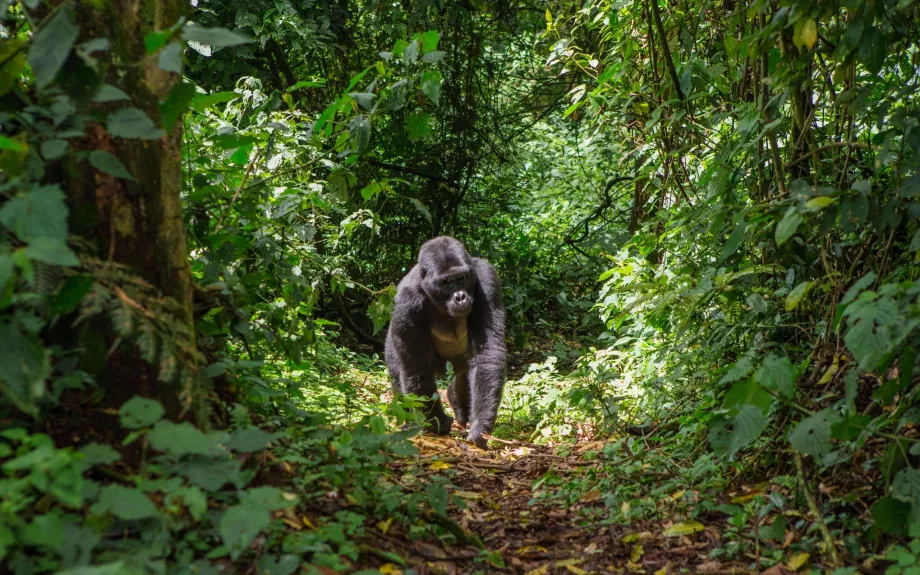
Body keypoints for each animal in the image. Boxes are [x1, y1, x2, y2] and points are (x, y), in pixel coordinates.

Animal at [385, 236, 506, 448]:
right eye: (447, 282)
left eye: (462, 278)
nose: (460, 297)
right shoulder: (406, 301)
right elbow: (416, 368)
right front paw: (437, 423)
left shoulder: (487, 278)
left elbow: (487, 354)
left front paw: (480, 425)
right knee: (398, 372)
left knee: (465, 374)